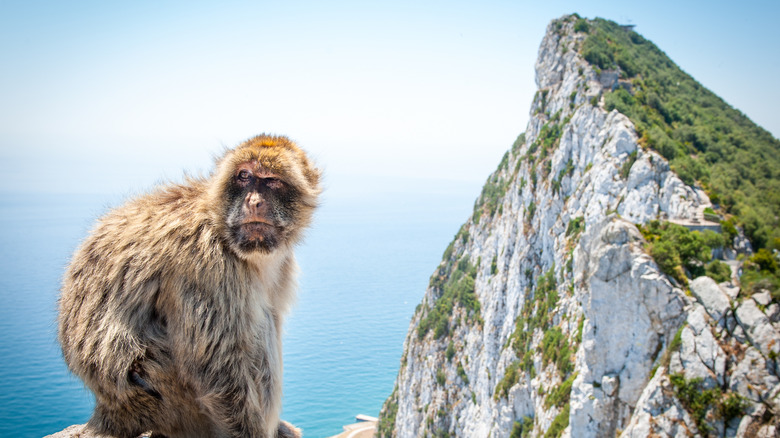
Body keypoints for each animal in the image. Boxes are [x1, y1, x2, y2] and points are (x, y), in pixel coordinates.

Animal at [57, 134, 320, 438]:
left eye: (271, 181)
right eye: (244, 176)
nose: (253, 202)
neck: (220, 225)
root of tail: (110, 410)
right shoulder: (205, 264)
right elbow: (217, 369)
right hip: (166, 398)